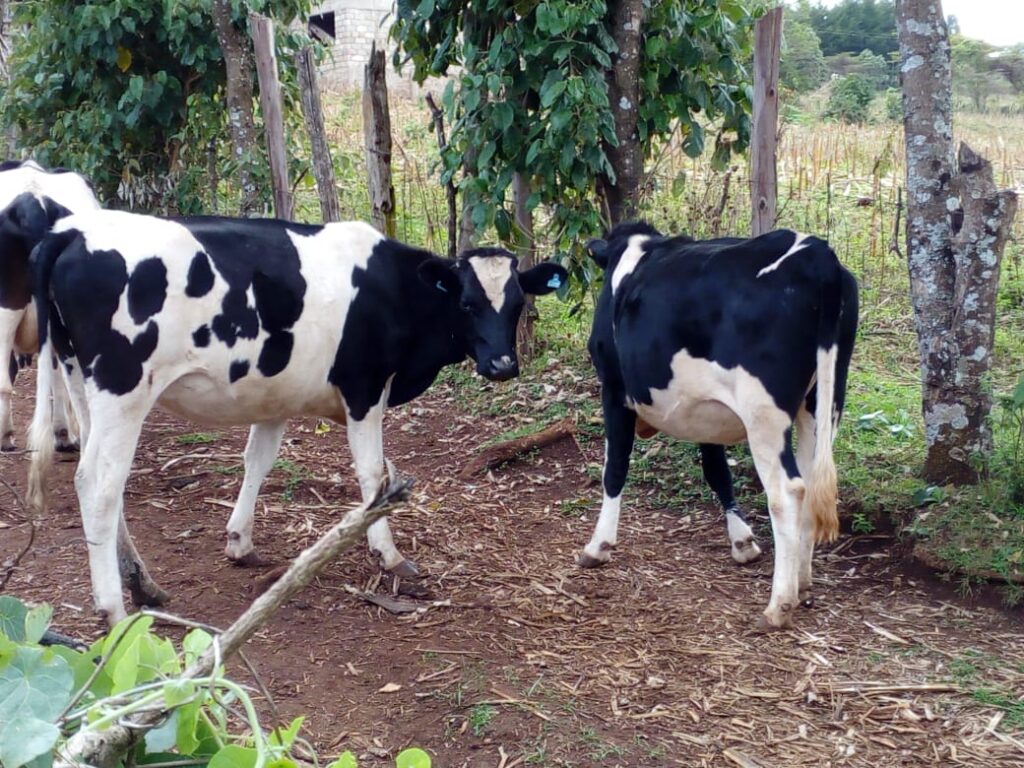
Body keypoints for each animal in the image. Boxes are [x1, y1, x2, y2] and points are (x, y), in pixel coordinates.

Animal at [26, 209, 568, 625]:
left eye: (517, 304)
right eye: (468, 302)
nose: (503, 365)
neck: (393, 288)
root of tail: (72, 231)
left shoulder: (275, 395)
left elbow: (257, 461)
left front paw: (240, 541)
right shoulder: (364, 387)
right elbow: (374, 474)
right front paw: (387, 553)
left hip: (81, 378)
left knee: (100, 481)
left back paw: (143, 584)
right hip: (123, 389)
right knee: (99, 485)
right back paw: (113, 607)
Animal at [579, 221, 858, 629]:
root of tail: (816, 253)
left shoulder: (614, 389)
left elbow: (615, 469)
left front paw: (598, 546)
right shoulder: (705, 408)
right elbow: (716, 470)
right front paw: (742, 542)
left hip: (763, 413)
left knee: (787, 491)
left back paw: (779, 603)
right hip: (825, 398)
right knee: (809, 480)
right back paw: (802, 580)